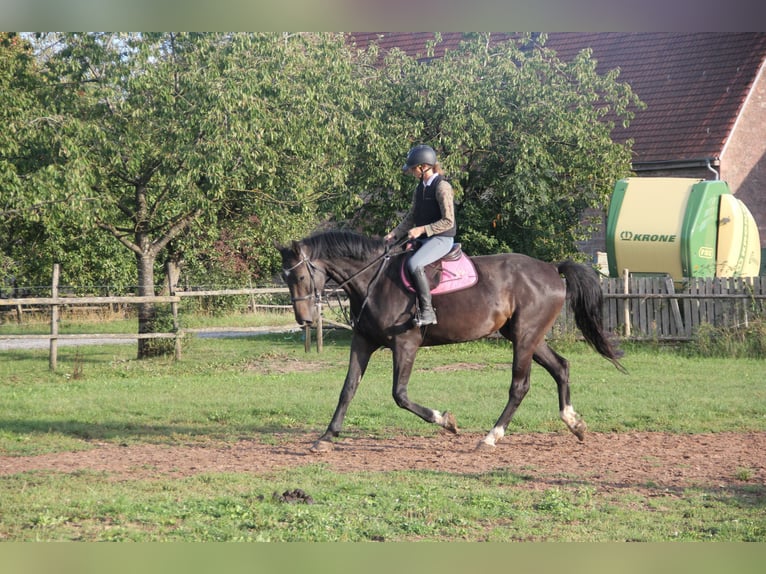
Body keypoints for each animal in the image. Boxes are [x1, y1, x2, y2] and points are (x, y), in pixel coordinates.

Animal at [277, 230, 625, 452]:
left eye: (301, 276)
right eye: (286, 278)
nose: (303, 320)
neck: (373, 280)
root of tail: (552, 269)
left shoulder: (405, 344)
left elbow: (400, 395)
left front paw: (446, 421)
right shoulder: (363, 342)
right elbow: (348, 389)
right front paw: (327, 436)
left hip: (525, 337)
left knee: (520, 386)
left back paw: (491, 437)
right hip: (528, 336)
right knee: (561, 368)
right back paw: (574, 424)